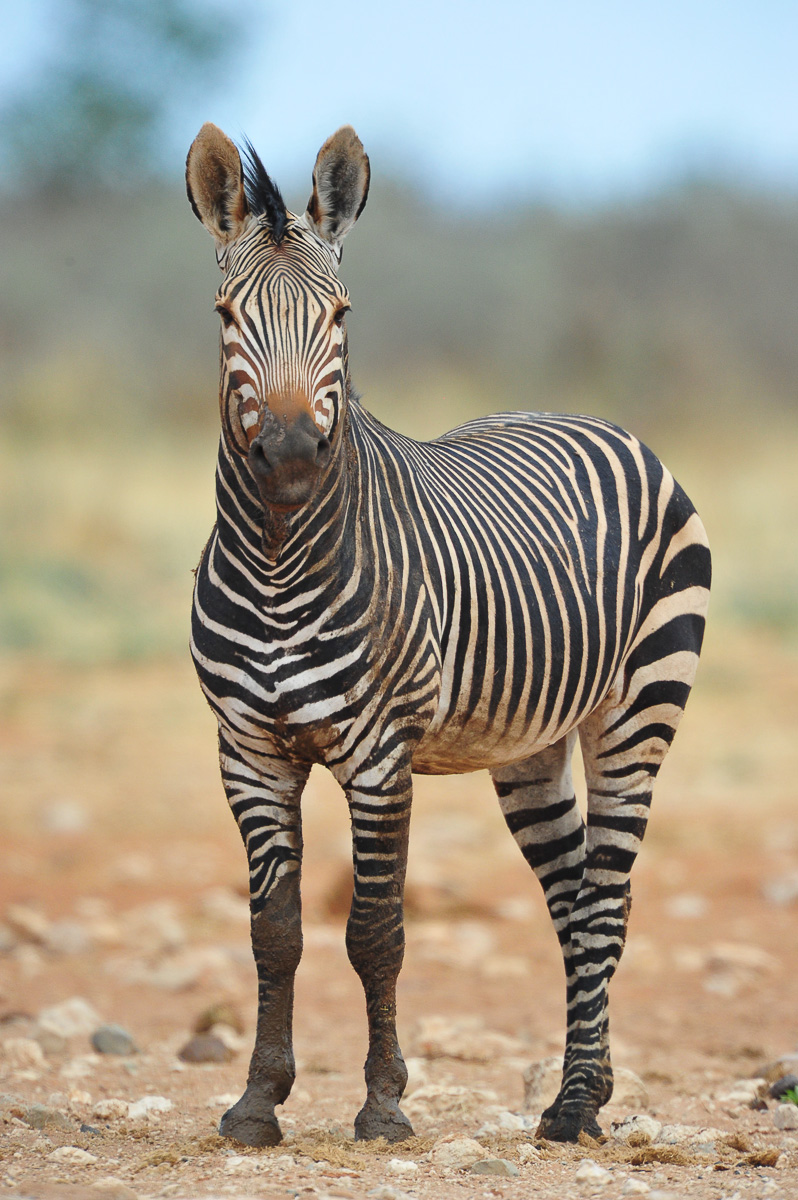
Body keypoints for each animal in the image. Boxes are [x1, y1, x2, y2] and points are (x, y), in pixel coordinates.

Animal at [185, 122, 711, 1149]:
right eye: (228, 314)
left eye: (341, 315)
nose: (293, 455)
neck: (278, 559)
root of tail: (585, 414)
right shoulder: (248, 751)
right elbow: (274, 932)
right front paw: (257, 1102)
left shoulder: (380, 752)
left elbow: (376, 931)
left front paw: (385, 1105)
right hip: (533, 744)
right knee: (575, 898)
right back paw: (590, 1088)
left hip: (640, 709)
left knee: (609, 893)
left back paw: (573, 1105)